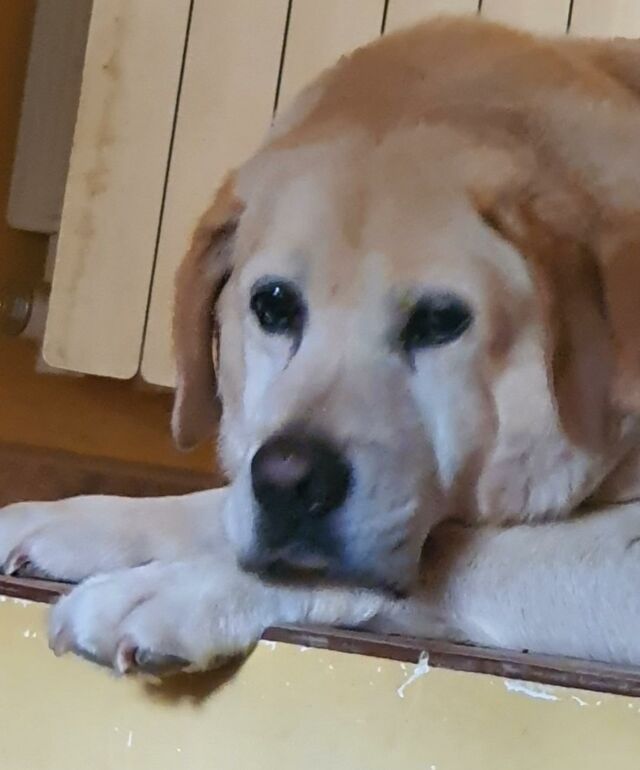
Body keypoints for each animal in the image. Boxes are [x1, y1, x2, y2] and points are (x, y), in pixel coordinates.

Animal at [2, 16, 640, 674]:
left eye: (441, 321)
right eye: (274, 305)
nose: (287, 480)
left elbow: (445, 551)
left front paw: (176, 589)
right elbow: (218, 505)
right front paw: (71, 520)